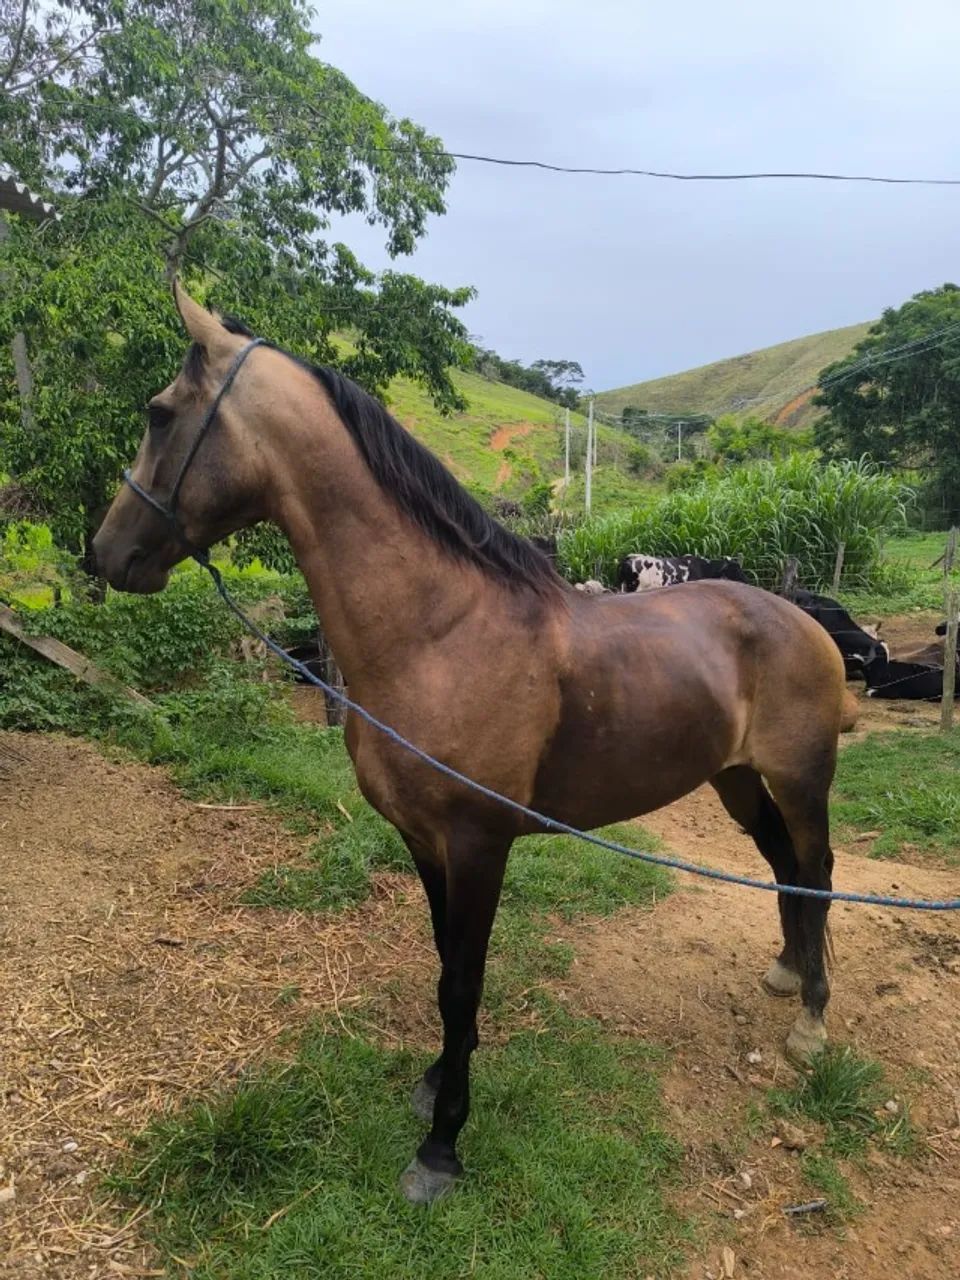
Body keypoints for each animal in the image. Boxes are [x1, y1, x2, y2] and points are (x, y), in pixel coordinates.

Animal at [93, 283, 850, 1205]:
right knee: (781, 862)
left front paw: (442, 1144)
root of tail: (801, 617)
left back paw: (812, 1021)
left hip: (801, 776)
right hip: (736, 779)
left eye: (159, 414)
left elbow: (463, 981)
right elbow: (442, 960)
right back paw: (786, 971)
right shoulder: (424, 840)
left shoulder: (480, 843)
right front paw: (434, 1083)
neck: (438, 633)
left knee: (816, 869)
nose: (105, 553)